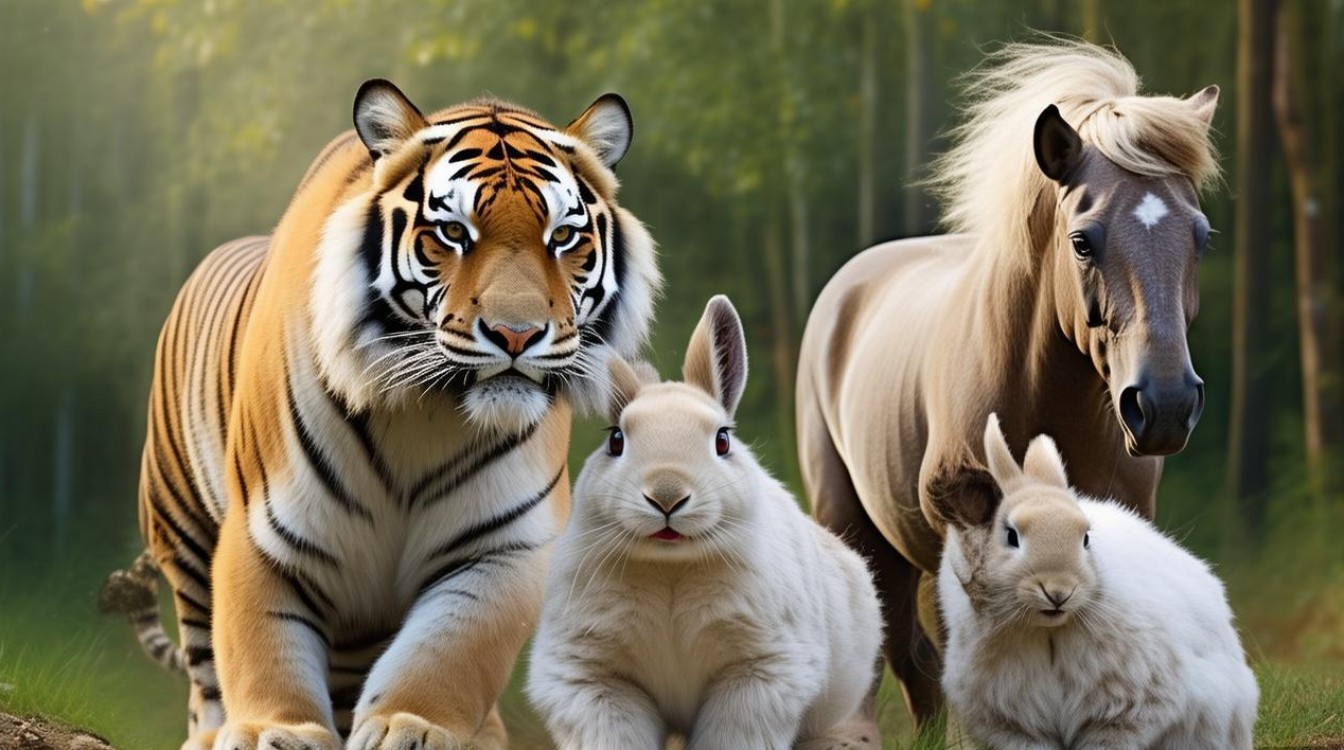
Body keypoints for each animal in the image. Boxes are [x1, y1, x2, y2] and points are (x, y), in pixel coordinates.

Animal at [102, 80, 661, 750]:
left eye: (562, 237)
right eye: (453, 233)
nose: (517, 334)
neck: (428, 412)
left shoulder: (505, 543)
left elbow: (451, 650)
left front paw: (411, 725)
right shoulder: (263, 530)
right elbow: (263, 641)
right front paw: (275, 731)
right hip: (180, 529)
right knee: (205, 664)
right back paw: (213, 733)